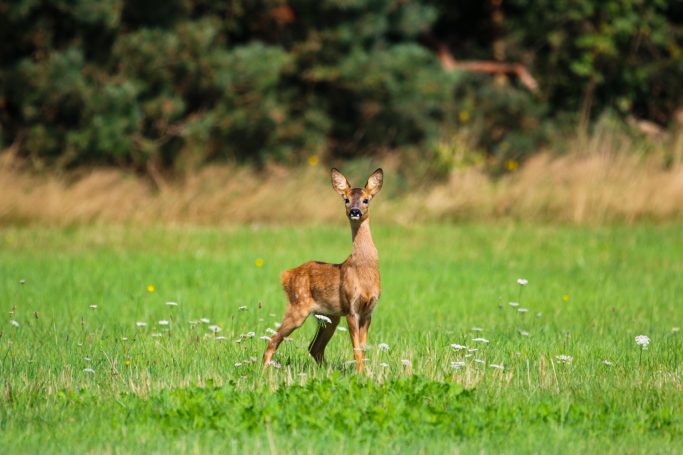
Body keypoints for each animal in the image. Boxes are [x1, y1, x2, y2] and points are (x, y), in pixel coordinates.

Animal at [262, 168, 384, 372]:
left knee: (314, 347)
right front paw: (361, 374)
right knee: (273, 340)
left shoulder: (369, 311)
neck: (364, 272)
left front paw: (365, 372)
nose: (355, 211)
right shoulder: (351, 308)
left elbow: (364, 348)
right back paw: (264, 373)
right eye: (346, 199)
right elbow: (357, 350)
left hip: (329, 317)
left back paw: (327, 370)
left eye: (366, 199)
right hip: (298, 306)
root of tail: (286, 275)